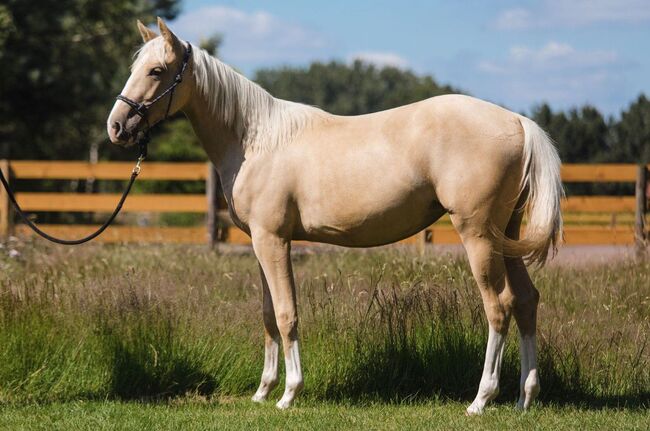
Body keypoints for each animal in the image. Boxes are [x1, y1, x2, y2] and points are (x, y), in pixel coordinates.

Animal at [107, 17, 560, 416]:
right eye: (133, 68)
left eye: (157, 70)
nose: (116, 127)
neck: (256, 141)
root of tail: (518, 122)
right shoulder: (259, 244)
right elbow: (268, 314)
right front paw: (262, 392)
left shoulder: (273, 240)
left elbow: (287, 313)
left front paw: (289, 394)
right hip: (506, 236)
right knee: (526, 301)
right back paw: (524, 398)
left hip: (478, 235)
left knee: (497, 307)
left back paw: (481, 400)